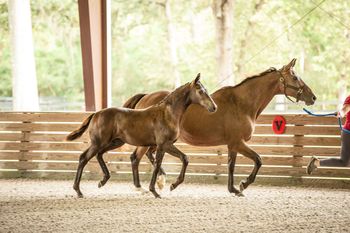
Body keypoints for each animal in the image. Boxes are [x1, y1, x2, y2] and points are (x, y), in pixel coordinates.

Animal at [65, 73, 216, 198]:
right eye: (201, 91)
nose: (214, 107)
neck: (168, 114)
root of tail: (96, 114)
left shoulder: (163, 145)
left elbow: (179, 160)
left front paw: (168, 185)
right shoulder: (164, 144)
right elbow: (166, 163)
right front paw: (158, 190)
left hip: (115, 142)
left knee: (101, 155)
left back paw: (103, 181)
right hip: (98, 142)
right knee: (84, 158)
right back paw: (79, 191)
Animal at [123, 58, 318, 195]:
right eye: (295, 77)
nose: (313, 97)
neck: (241, 103)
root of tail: (145, 97)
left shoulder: (233, 144)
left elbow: (233, 165)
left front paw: (234, 188)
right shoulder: (237, 142)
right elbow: (257, 160)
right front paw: (242, 185)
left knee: (146, 155)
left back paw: (157, 181)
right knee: (136, 158)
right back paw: (145, 186)